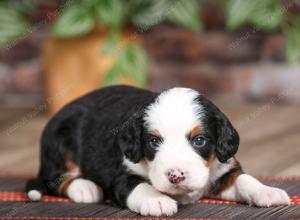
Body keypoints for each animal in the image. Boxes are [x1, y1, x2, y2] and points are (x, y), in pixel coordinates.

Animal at [26, 85, 290, 217]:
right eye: (153, 141)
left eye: (200, 140)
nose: (176, 176)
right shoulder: (121, 174)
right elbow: (140, 185)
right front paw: (157, 200)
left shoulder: (223, 169)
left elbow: (244, 179)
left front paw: (267, 192)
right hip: (60, 140)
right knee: (55, 178)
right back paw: (85, 187)